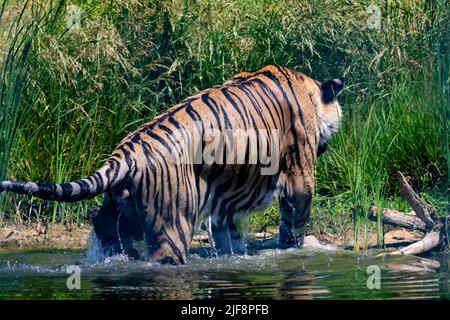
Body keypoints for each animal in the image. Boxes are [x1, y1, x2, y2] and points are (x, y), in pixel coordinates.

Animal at [0, 65, 344, 264]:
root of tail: (126, 152)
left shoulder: (226, 202)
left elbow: (228, 235)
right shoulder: (300, 179)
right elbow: (295, 222)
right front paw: (294, 248)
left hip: (123, 209)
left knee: (102, 223)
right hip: (172, 225)